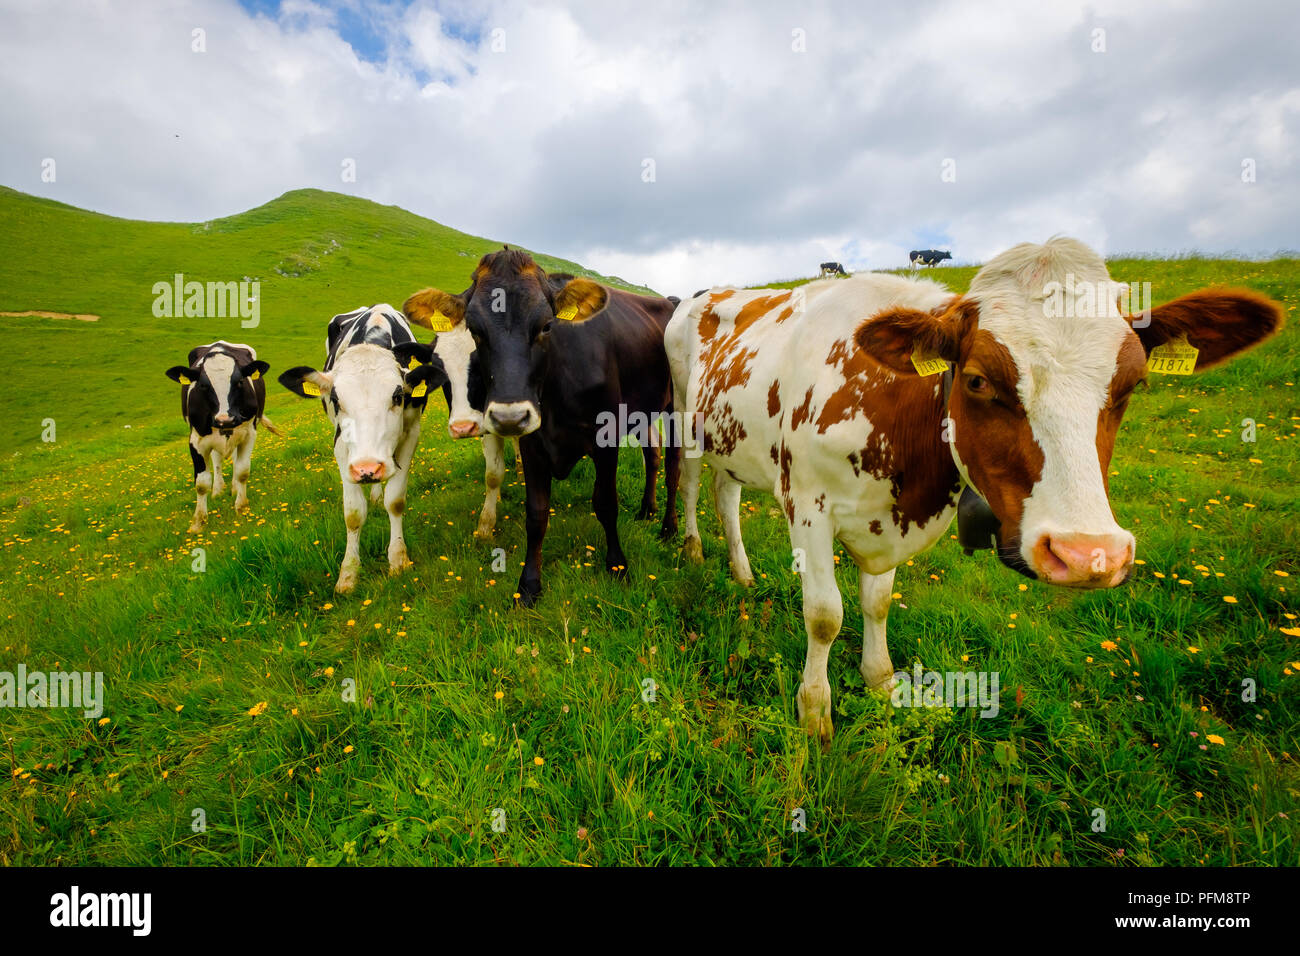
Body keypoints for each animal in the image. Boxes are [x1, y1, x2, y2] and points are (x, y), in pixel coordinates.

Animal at [165, 341, 278, 533]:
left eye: (239, 382)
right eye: (203, 385)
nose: (225, 419)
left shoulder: (249, 433)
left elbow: (242, 471)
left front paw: (241, 506)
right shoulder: (196, 440)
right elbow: (202, 482)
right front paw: (198, 522)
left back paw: (233, 488)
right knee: (216, 460)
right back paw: (218, 490)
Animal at [278, 305, 448, 593]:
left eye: (398, 396)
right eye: (335, 399)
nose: (367, 468)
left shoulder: (411, 434)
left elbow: (396, 500)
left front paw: (398, 559)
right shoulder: (341, 447)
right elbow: (354, 513)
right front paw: (348, 573)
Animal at [402, 248, 681, 605]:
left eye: (547, 325)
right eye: (476, 330)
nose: (509, 417)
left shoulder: (605, 439)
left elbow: (606, 503)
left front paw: (617, 566)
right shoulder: (532, 445)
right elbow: (536, 514)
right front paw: (529, 585)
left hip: (675, 407)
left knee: (673, 467)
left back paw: (668, 528)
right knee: (653, 452)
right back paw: (647, 510)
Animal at [665, 237, 1283, 741]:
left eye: (1134, 383)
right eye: (978, 380)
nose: (1087, 554)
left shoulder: (889, 518)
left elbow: (877, 602)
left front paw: (880, 681)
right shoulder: (808, 505)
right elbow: (825, 615)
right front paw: (815, 711)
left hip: (734, 440)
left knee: (727, 495)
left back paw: (742, 571)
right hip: (685, 418)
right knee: (693, 483)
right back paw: (693, 547)